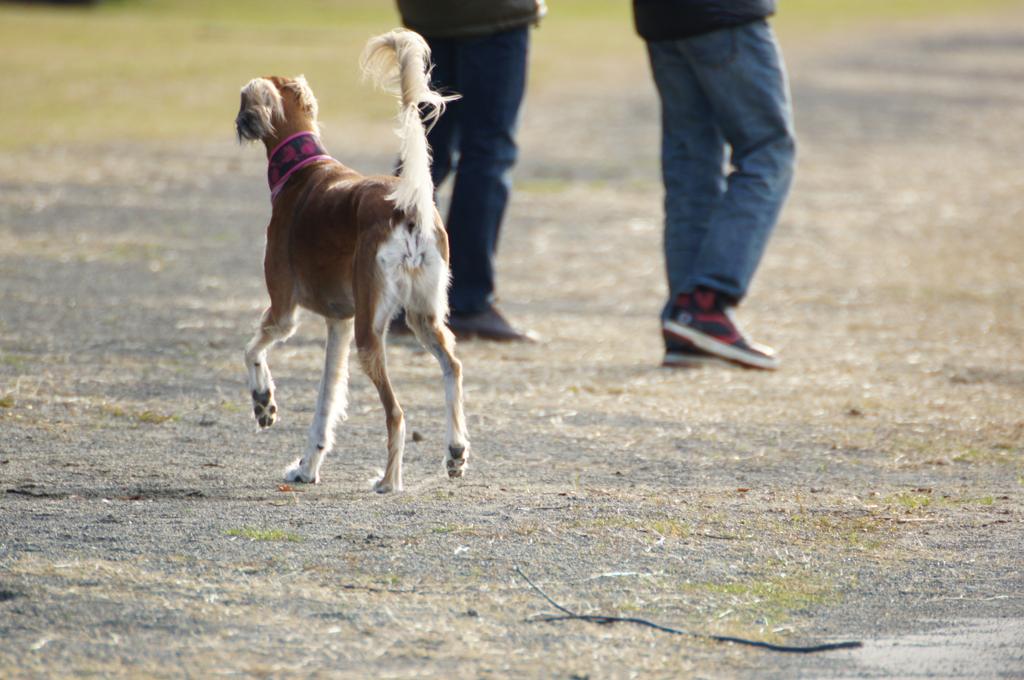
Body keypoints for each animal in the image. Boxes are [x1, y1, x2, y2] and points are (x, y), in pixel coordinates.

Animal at [234, 29, 468, 491]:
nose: (237, 122)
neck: (302, 170)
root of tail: (407, 205)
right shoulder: (338, 322)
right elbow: (326, 401)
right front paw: (307, 467)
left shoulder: (284, 310)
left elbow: (252, 350)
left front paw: (263, 401)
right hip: (421, 317)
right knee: (452, 366)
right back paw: (455, 450)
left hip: (369, 333)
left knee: (396, 412)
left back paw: (389, 481)